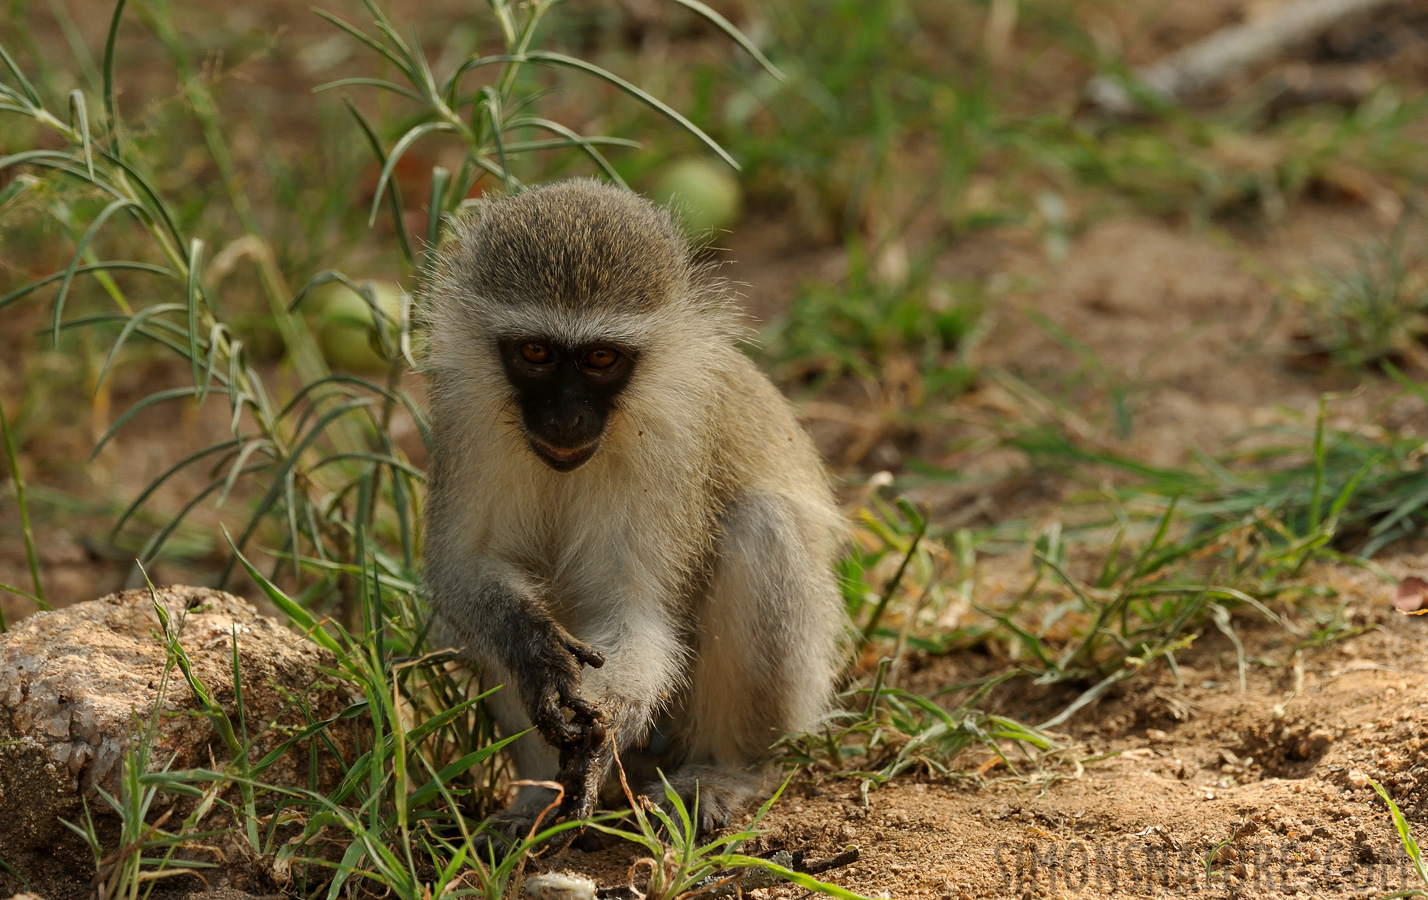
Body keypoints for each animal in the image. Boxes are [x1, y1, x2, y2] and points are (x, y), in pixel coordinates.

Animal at [419, 180, 845, 845]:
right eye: (535, 351)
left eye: (600, 358)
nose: (565, 418)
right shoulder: (464, 414)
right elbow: (462, 569)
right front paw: (532, 646)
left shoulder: (675, 443)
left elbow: (636, 609)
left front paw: (609, 724)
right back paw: (535, 799)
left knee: (762, 525)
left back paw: (724, 770)